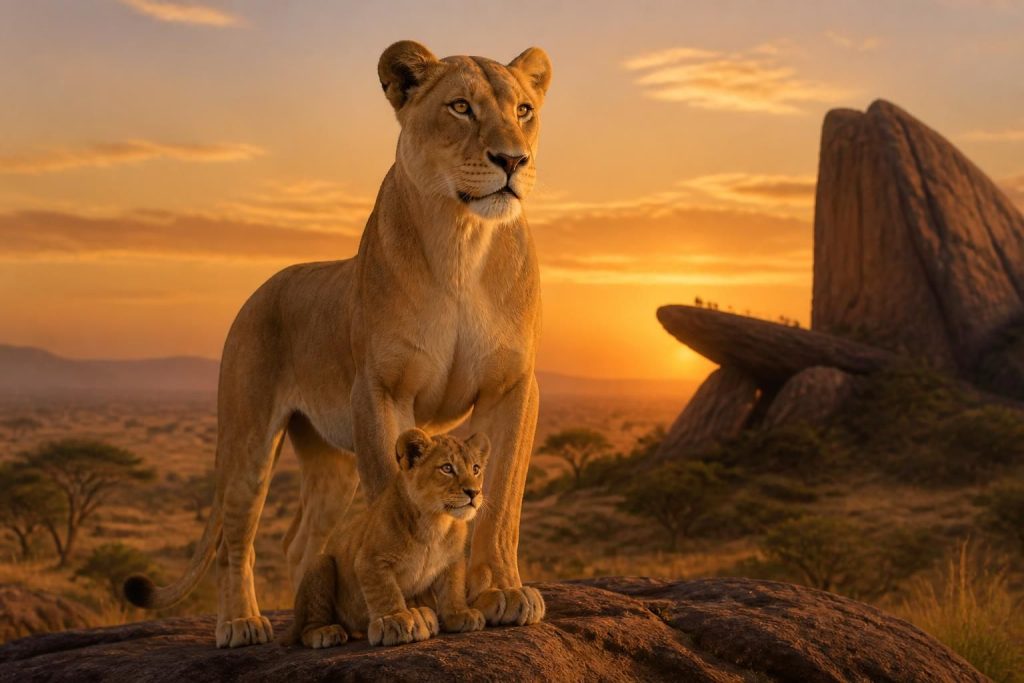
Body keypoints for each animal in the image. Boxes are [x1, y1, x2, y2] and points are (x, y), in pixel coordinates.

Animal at [283, 428, 510, 648]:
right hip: (321, 565)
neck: (436, 522)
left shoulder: (452, 561)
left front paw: (459, 614)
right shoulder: (370, 560)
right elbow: (385, 591)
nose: (474, 492)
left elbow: (453, 588)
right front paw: (395, 620)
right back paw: (326, 632)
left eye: (476, 469)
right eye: (447, 468)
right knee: (305, 628)